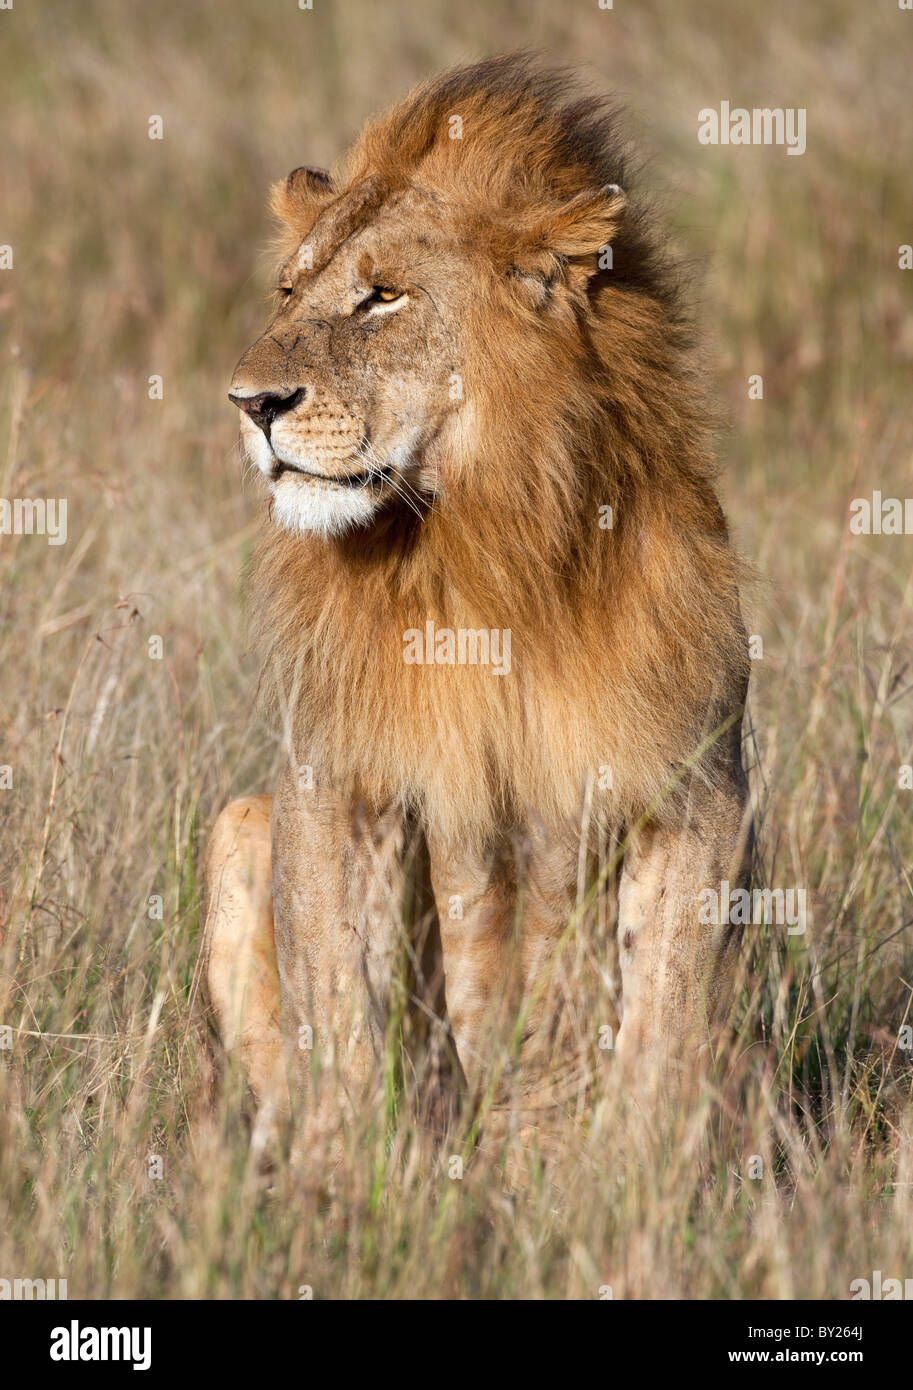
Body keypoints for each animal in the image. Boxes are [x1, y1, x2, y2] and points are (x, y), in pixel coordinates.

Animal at [202, 54, 750, 1156]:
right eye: (287, 290)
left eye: (382, 297)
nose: (250, 404)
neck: (481, 549)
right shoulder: (336, 772)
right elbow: (344, 1009)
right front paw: (351, 1176)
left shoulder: (696, 789)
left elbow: (658, 1030)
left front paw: (626, 1183)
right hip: (239, 824)